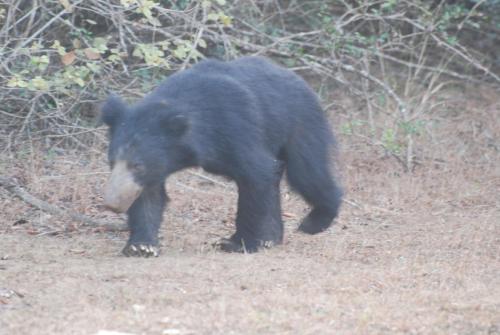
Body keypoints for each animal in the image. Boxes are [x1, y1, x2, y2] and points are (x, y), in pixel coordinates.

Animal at [101, 57, 344, 258]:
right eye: (112, 162)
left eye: (137, 165)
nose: (111, 204)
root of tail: (300, 80)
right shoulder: (158, 166)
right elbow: (149, 196)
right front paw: (141, 246)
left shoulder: (236, 128)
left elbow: (256, 175)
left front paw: (238, 242)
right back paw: (273, 237)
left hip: (299, 123)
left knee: (307, 173)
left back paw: (314, 221)